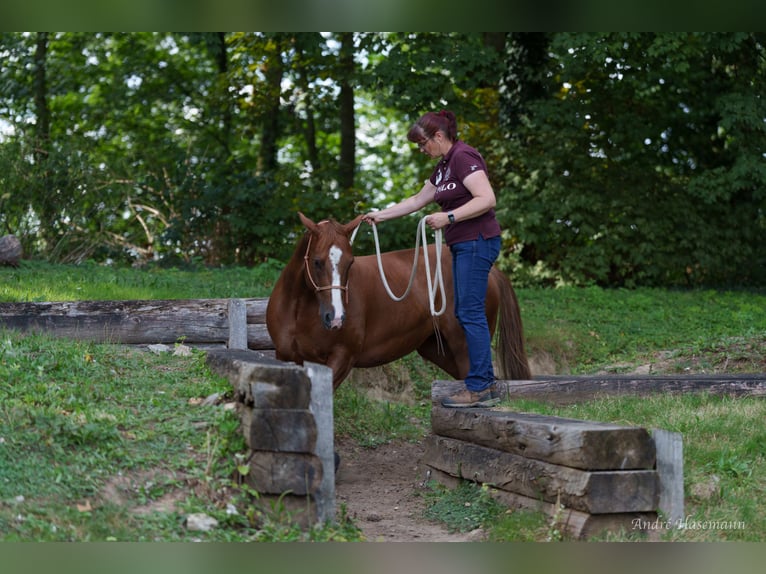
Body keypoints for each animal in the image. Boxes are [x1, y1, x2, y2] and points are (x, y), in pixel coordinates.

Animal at [268, 214, 532, 394]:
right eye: (317, 262)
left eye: (350, 263)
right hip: (436, 349)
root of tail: (491, 271)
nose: (336, 318)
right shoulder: (285, 357)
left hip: (464, 347)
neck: (299, 310)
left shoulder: (342, 358)